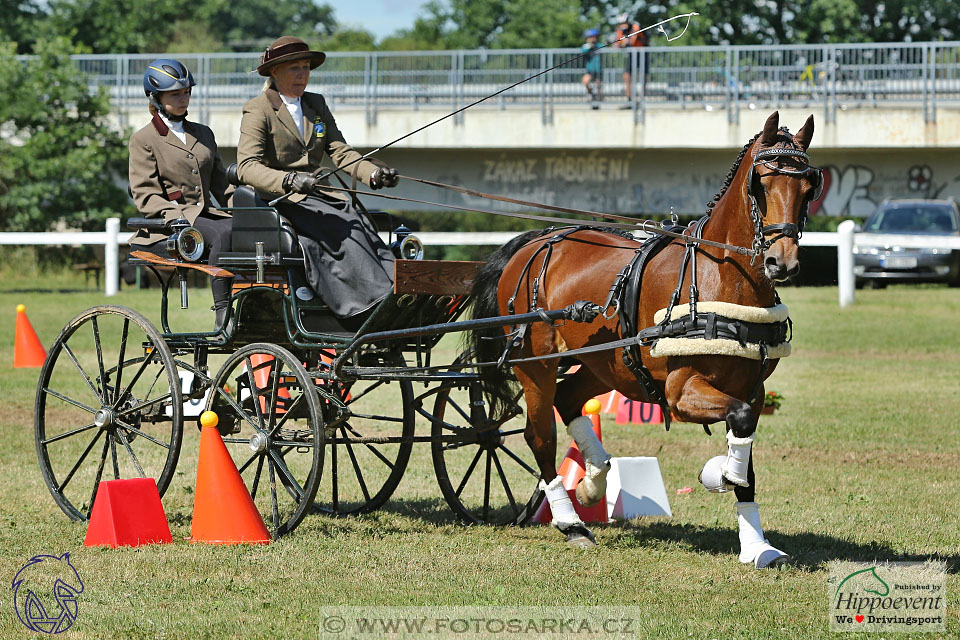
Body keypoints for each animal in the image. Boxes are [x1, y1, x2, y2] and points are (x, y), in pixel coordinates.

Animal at [464, 112, 816, 568]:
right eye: (762, 182)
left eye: (809, 187)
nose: (781, 262)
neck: (720, 276)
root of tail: (537, 241)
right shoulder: (681, 392)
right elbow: (736, 436)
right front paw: (720, 473)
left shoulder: (752, 391)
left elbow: (746, 451)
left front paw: (757, 545)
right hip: (535, 364)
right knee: (540, 435)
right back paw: (571, 522)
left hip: (605, 363)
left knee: (569, 399)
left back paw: (593, 481)